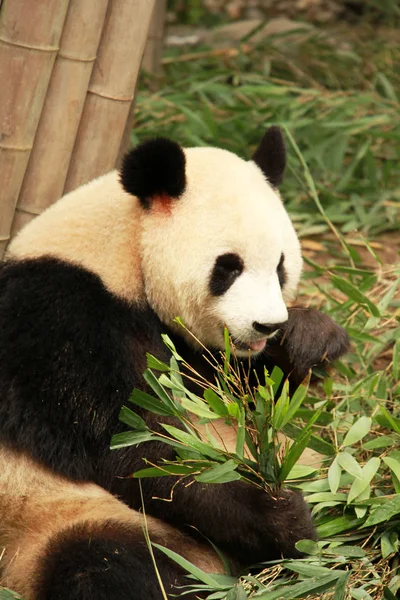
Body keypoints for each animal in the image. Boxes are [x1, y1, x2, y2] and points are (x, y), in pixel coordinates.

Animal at [0, 129, 348, 600]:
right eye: (229, 267)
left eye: (280, 267)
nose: (267, 324)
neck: (119, 250)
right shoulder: (60, 320)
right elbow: (134, 450)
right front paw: (282, 517)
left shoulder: (191, 348)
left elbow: (233, 390)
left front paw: (310, 338)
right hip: (42, 522)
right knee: (102, 563)